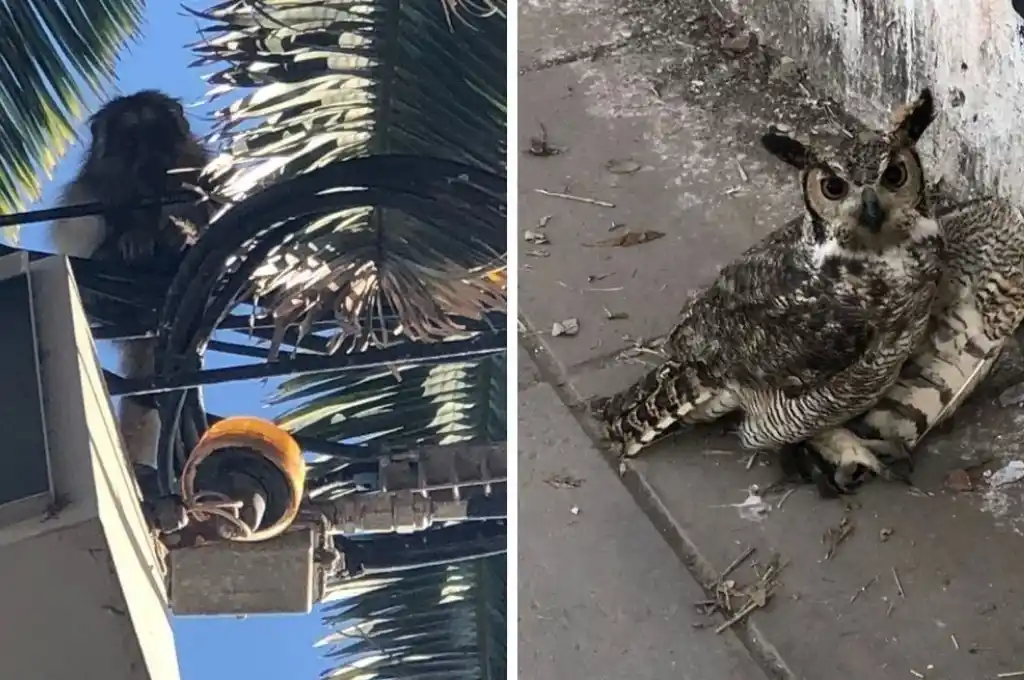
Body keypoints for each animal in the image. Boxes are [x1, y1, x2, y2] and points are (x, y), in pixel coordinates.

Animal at [48, 89, 213, 472]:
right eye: (129, 142)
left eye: (156, 137)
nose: (149, 161)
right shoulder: (90, 191)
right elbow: (78, 231)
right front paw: (126, 243)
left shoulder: (201, 170)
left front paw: (179, 234)